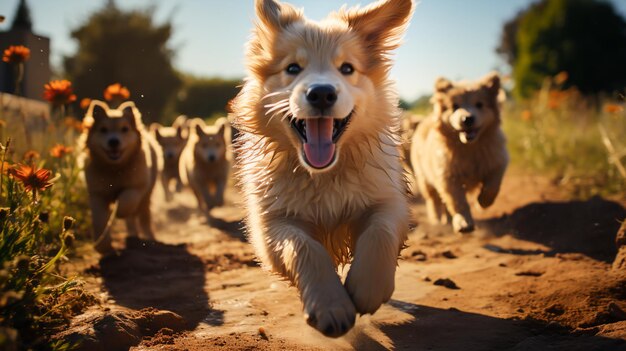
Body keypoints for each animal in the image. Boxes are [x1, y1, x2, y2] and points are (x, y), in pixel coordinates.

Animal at [78, 100, 162, 254]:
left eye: (124, 129)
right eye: (103, 129)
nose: (113, 142)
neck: (115, 169)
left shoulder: (138, 185)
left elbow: (126, 201)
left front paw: (118, 212)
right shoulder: (97, 194)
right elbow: (99, 221)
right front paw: (102, 246)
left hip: (147, 194)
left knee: (143, 216)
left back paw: (149, 236)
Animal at [229, 0, 414, 338]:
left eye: (347, 68)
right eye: (292, 68)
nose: (322, 93)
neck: (324, 175)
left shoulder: (389, 199)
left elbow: (379, 232)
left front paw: (366, 288)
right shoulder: (271, 223)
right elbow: (305, 248)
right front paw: (331, 305)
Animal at [410, 72, 508, 234]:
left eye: (479, 104)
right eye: (455, 106)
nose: (467, 119)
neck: (469, 148)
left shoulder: (498, 161)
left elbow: (492, 186)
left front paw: (482, 202)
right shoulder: (448, 176)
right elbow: (458, 201)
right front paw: (464, 222)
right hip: (425, 179)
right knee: (434, 201)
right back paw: (437, 220)